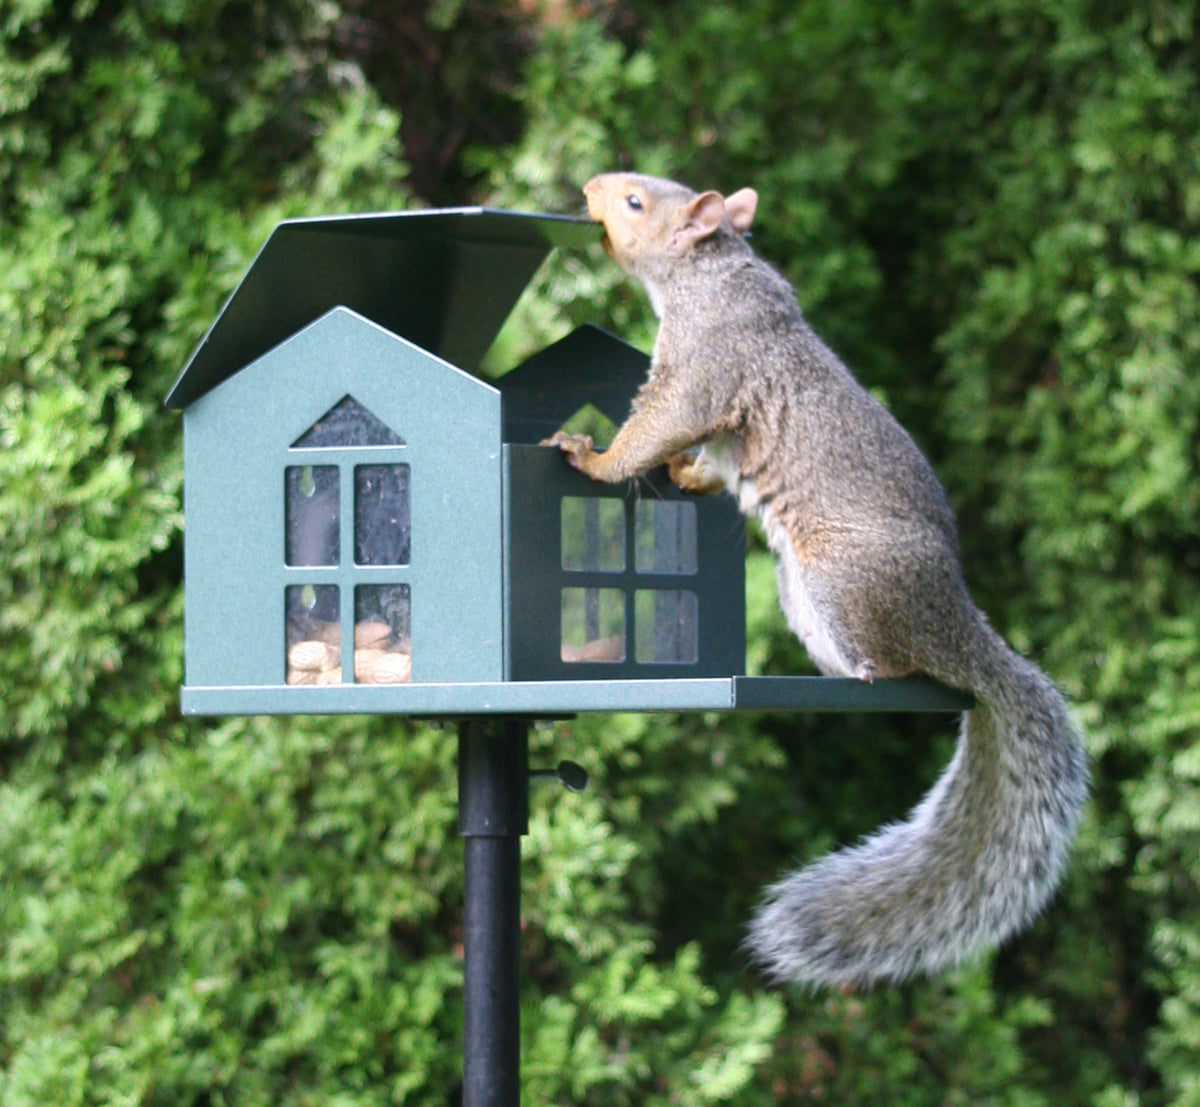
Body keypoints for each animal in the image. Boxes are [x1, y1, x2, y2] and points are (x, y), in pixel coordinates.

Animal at [545, 171, 1089, 989]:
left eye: (637, 201)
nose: (589, 187)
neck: (707, 276)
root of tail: (960, 626)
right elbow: (706, 459)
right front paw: (687, 475)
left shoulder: (703, 367)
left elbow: (657, 426)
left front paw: (597, 459)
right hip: (803, 597)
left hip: (842, 579)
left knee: (905, 668)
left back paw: (872, 673)